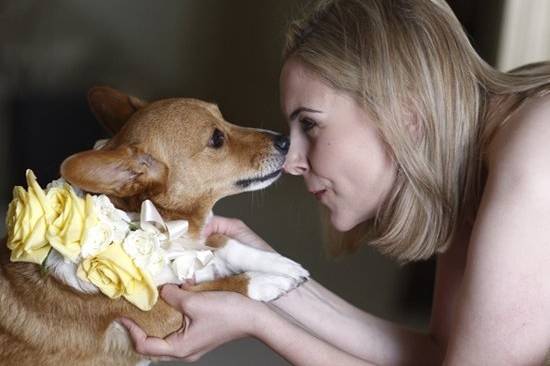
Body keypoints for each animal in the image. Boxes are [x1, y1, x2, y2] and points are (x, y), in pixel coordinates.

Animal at [0, 86, 310, 366]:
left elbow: (226, 245)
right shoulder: (166, 315)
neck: (160, 228)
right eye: (217, 138)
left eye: (222, 117)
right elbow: (217, 288)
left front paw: (282, 265)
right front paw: (267, 281)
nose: (286, 141)